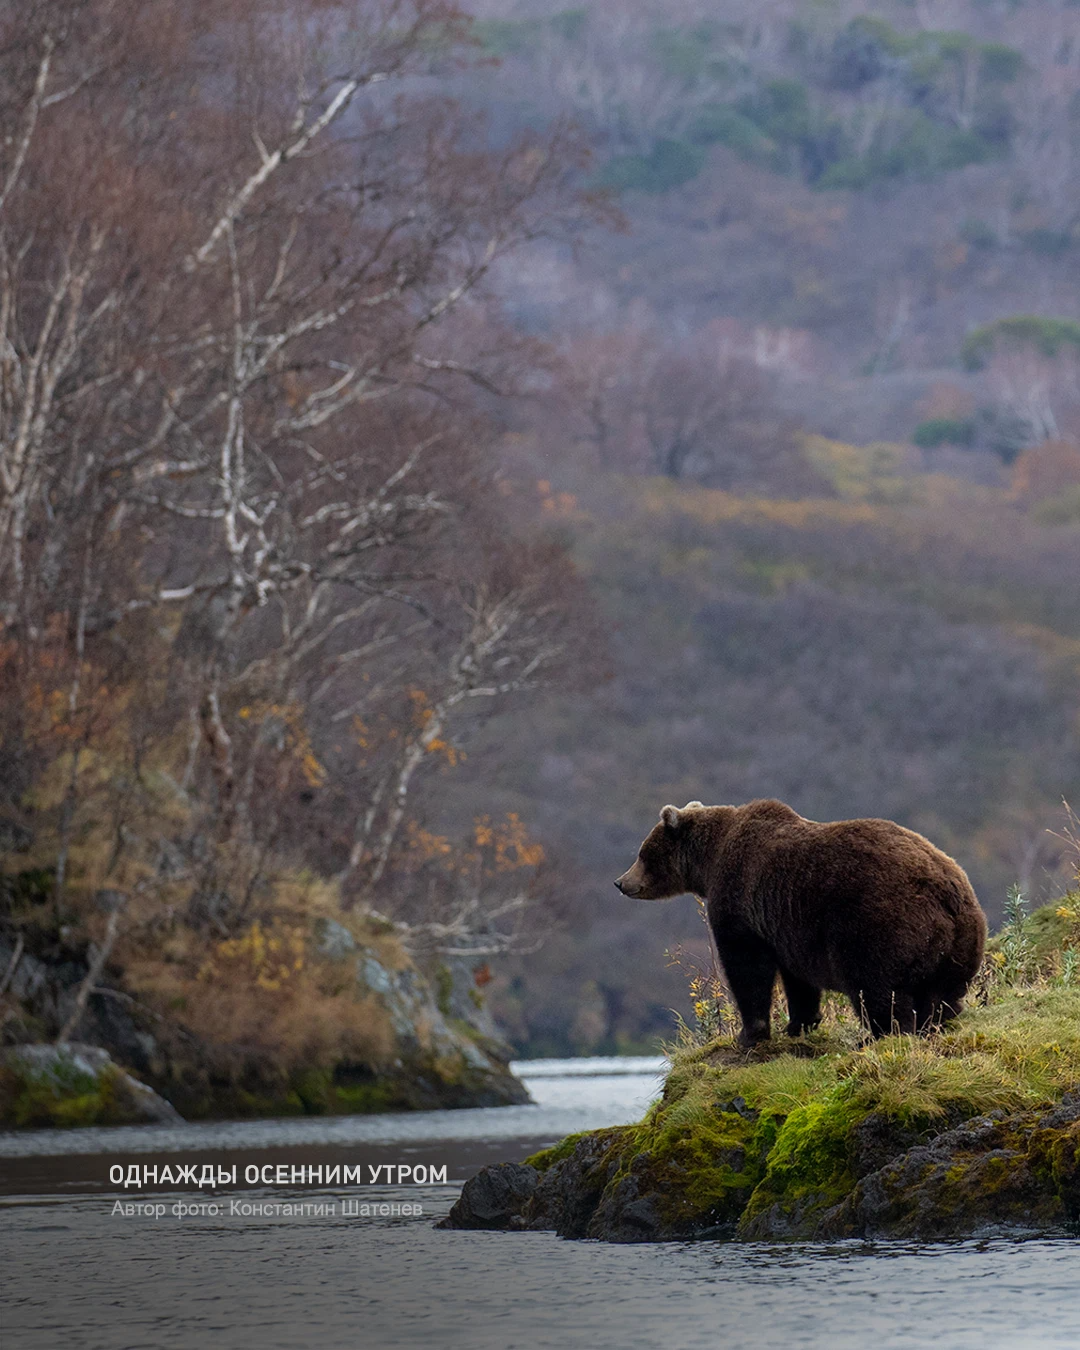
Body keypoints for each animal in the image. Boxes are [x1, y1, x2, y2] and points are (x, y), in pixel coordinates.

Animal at [615, 799, 988, 1042]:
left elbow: (746, 967)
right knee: (943, 993)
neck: (710, 861)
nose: (621, 882)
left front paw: (750, 1033)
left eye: (642, 853)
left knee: (877, 988)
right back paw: (934, 1023)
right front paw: (800, 1024)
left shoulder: (741, 901)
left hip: (879, 924)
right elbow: (797, 979)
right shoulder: (788, 927)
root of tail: (948, 892)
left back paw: (880, 1035)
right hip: (960, 942)